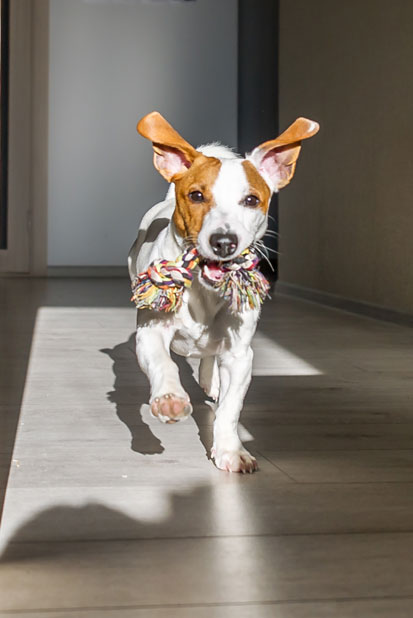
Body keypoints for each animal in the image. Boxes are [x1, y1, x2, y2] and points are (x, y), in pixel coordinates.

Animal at [129, 110, 318, 472]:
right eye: (196, 196)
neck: (204, 291)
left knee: (208, 356)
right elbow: (163, 363)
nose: (224, 242)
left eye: (251, 200)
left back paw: (210, 379)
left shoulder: (240, 355)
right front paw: (170, 398)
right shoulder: (150, 332)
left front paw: (231, 450)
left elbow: (231, 408)